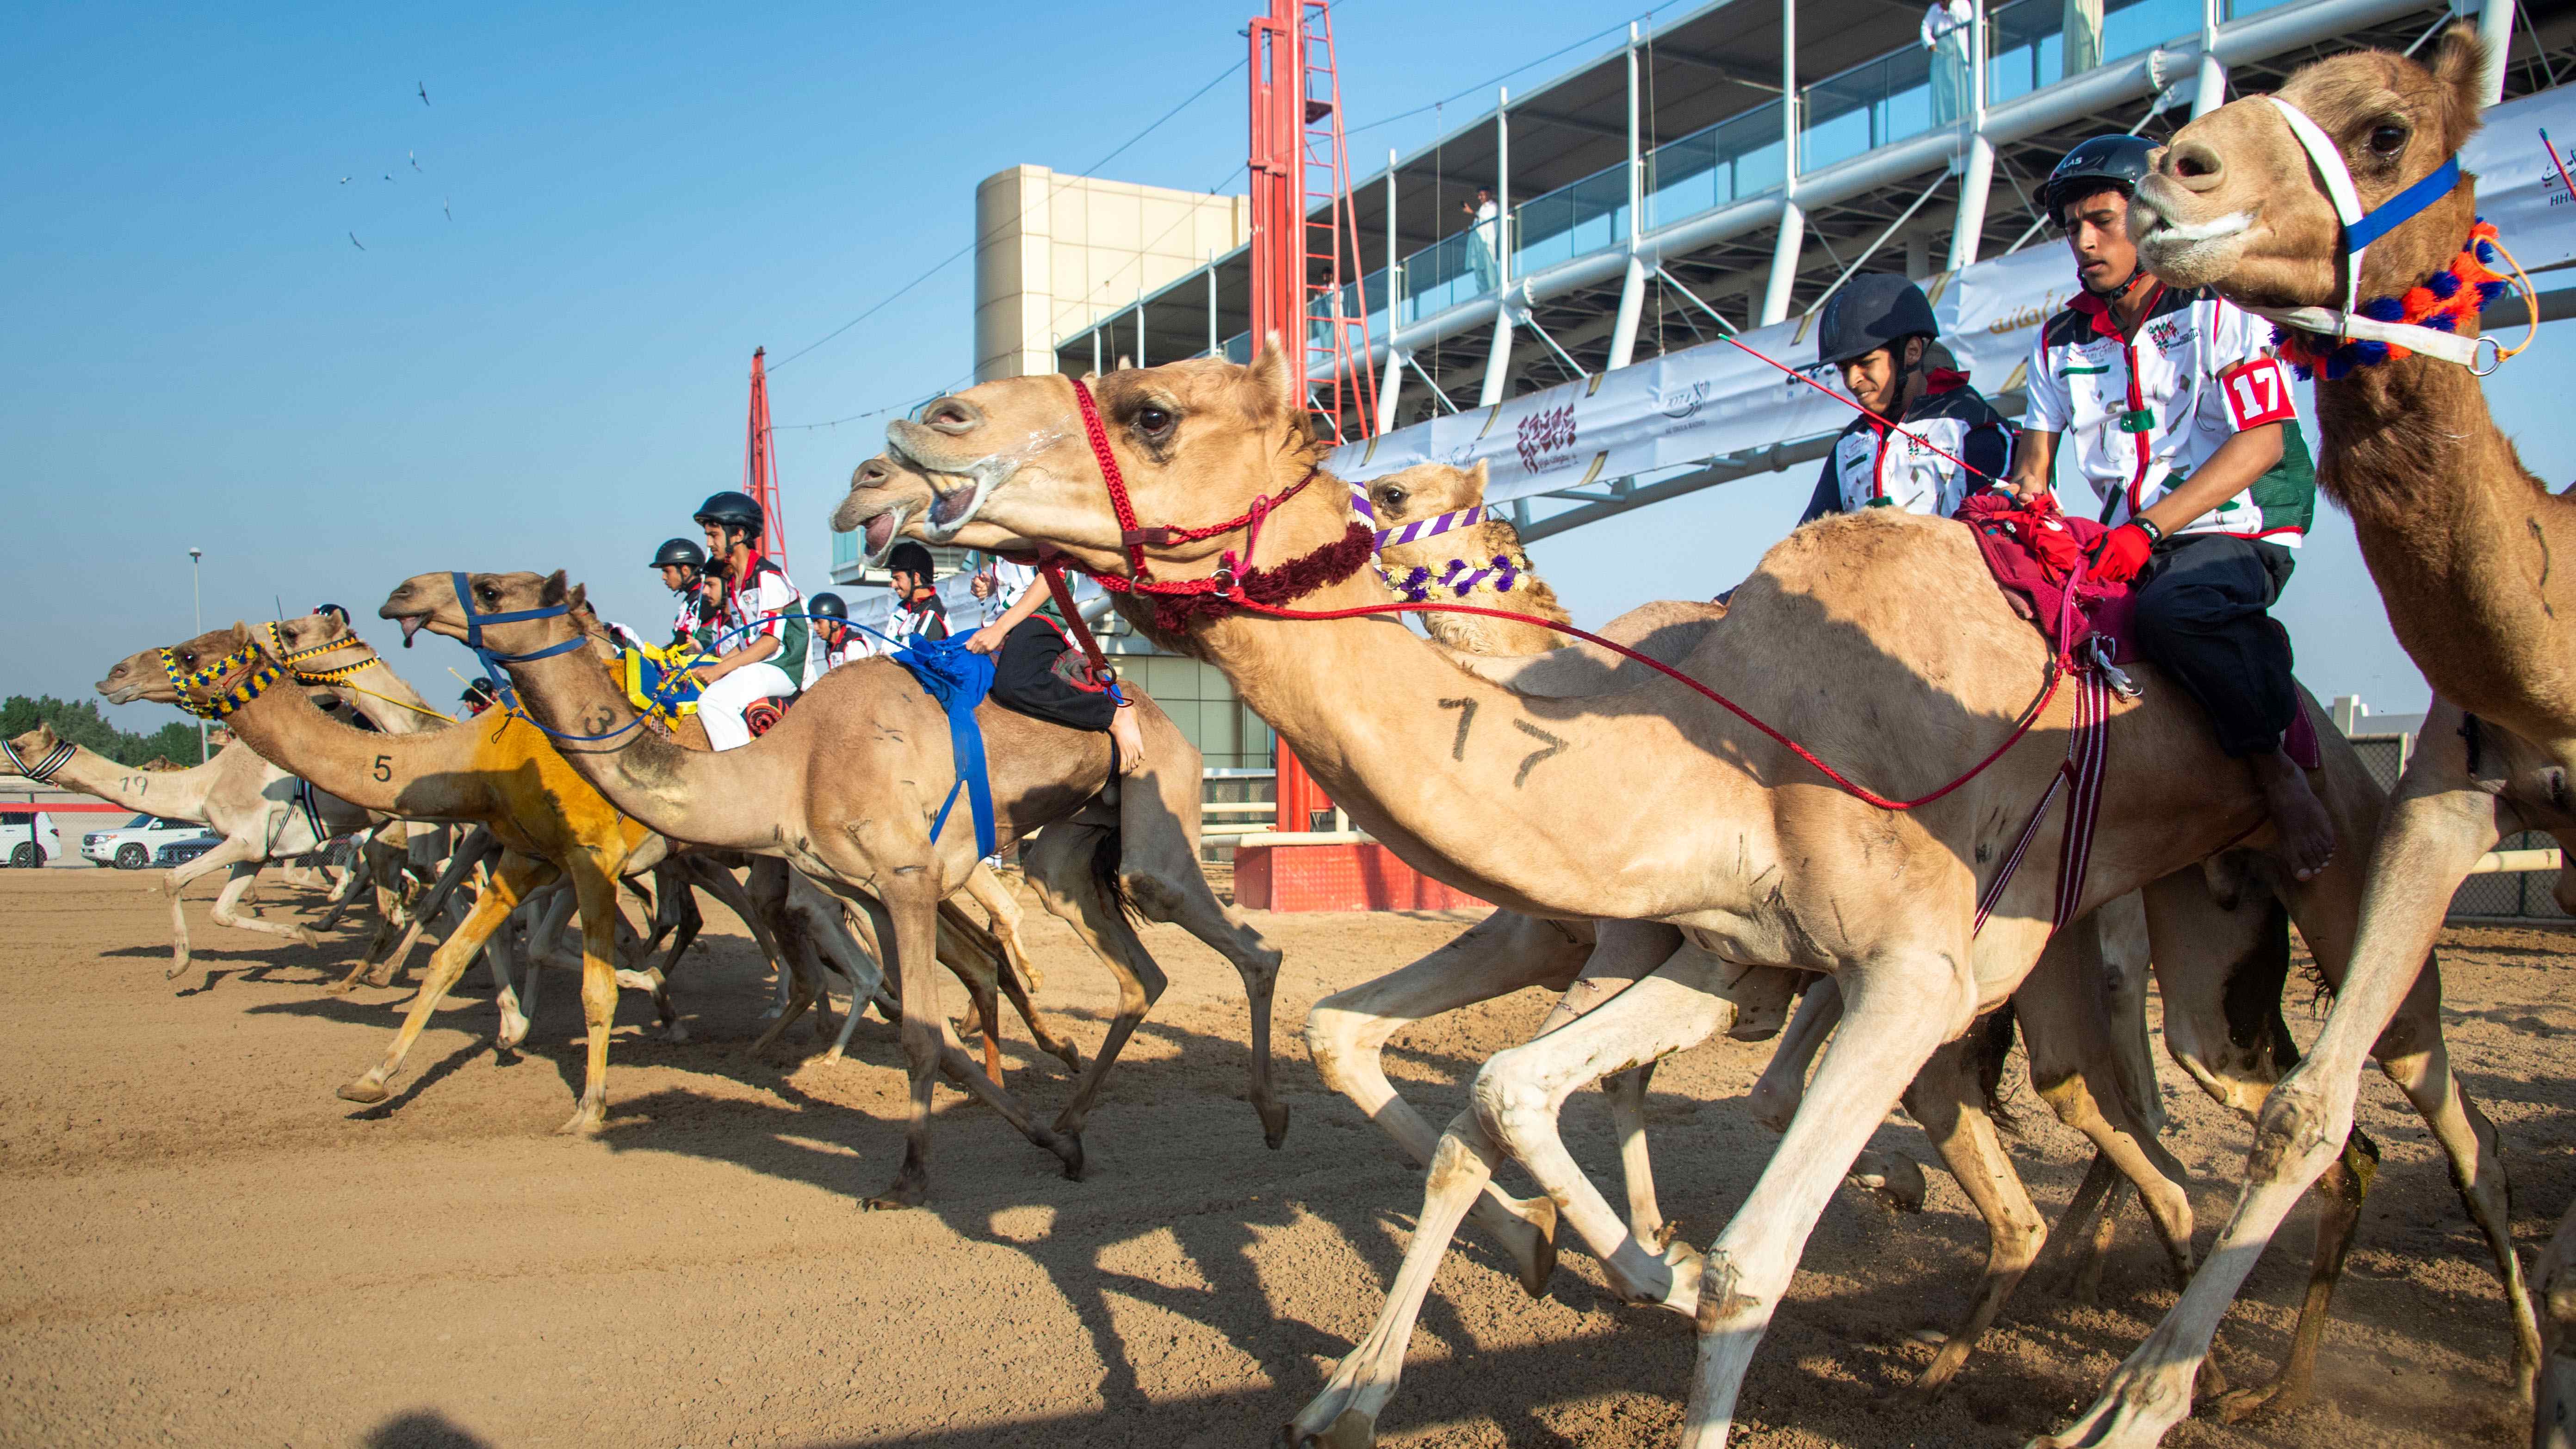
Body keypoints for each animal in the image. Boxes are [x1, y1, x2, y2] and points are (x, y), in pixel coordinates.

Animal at [376, 567, 1298, 1207]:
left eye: (491, 586)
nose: (402, 596)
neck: (789, 766)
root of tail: (1164, 717)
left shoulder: (908, 878)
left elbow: (924, 1036)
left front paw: (908, 1180)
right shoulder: (874, 891)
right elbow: (936, 1036)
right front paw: (1050, 1145)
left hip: (1159, 803)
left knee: (1247, 946)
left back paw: (1273, 1116)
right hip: (1068, 857)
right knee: (1133, 968)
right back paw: (1075, 1118)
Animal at [850, 348, 2514, 1443]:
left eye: (1152, 411)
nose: (905, 442)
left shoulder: (1887, 967)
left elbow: (1738, 1262)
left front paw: (1630, 1261)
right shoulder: (1712, 950)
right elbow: (1480, 1090)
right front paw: (1397, 1358)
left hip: (2326, 870)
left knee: (2359, 1105)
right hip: (2165, 937)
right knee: (2204, 1108)